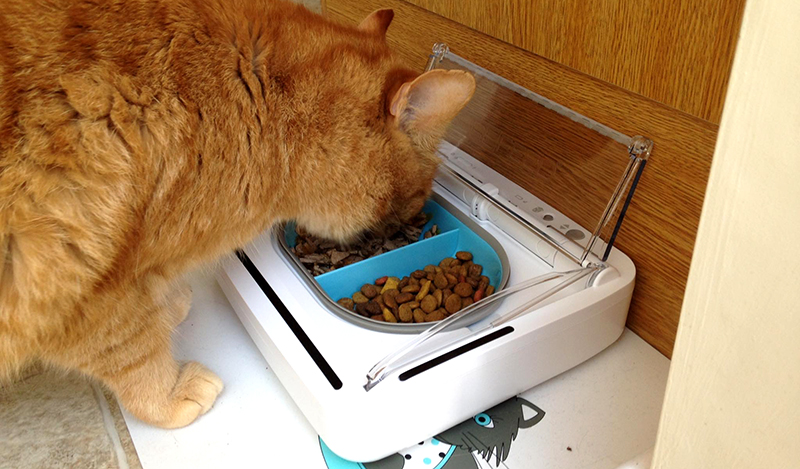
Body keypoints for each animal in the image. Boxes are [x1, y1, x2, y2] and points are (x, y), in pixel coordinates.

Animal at [1, 0, 476, 428]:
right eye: (422, 190)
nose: (417, 219)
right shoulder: (82, 290)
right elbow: (133, 350)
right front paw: (169, 396)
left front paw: (169, 306)